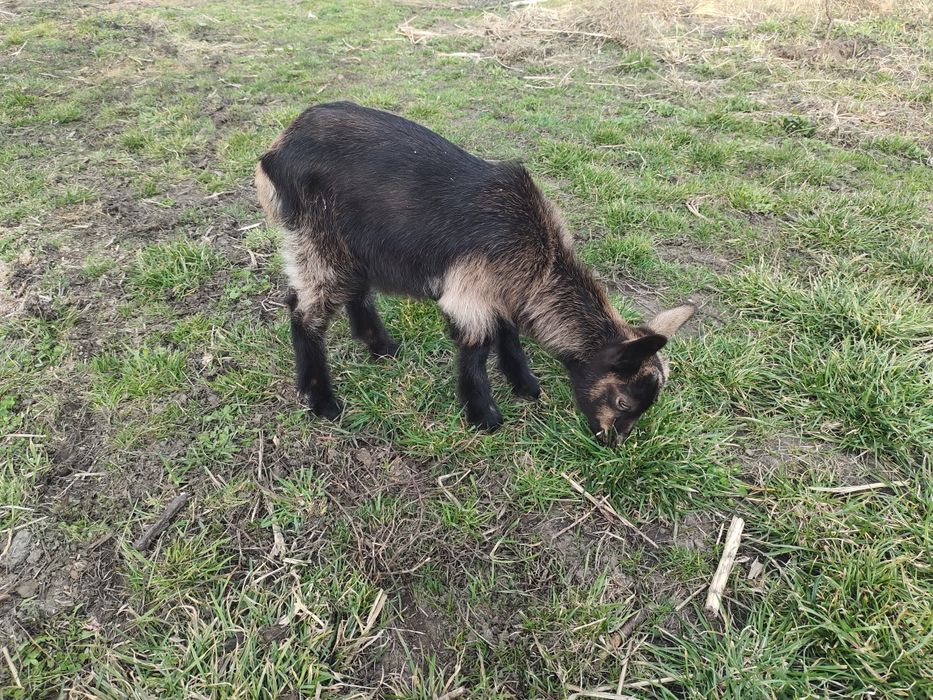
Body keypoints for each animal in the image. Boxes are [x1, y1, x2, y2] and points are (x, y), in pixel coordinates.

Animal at [256, 101, 695, 445]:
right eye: (623, 401)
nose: (612, 442)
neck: (537, 250)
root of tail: (278, 149)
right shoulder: (468, 292)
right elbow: (477, 347)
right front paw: (483, 415)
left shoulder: (499, 288)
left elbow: (508, 331)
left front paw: (524, 383)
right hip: (317, 237)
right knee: (303, 310)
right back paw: (321, 399)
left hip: (353, 244)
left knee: (352, 289)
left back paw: (380, 347)